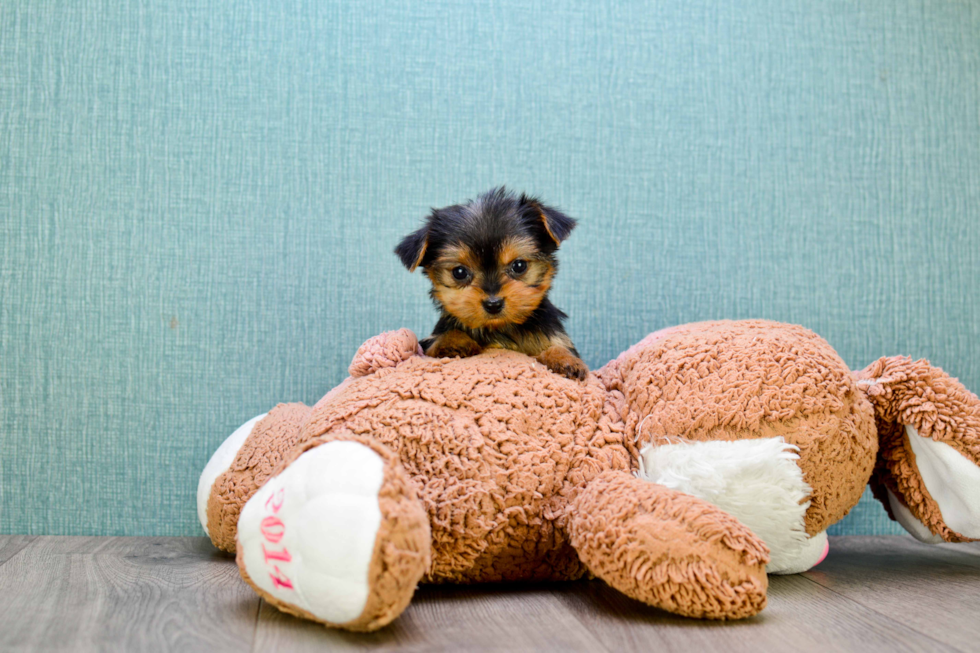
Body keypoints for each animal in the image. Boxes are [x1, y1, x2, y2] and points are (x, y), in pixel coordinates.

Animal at [394, 188, 584, 380]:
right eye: (459, 272)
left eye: (519, 265)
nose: (493, 304)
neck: (498, 328)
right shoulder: (428, 345)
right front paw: (453, 341)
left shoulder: (553, 335)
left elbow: (559, 346)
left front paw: (565, 359)